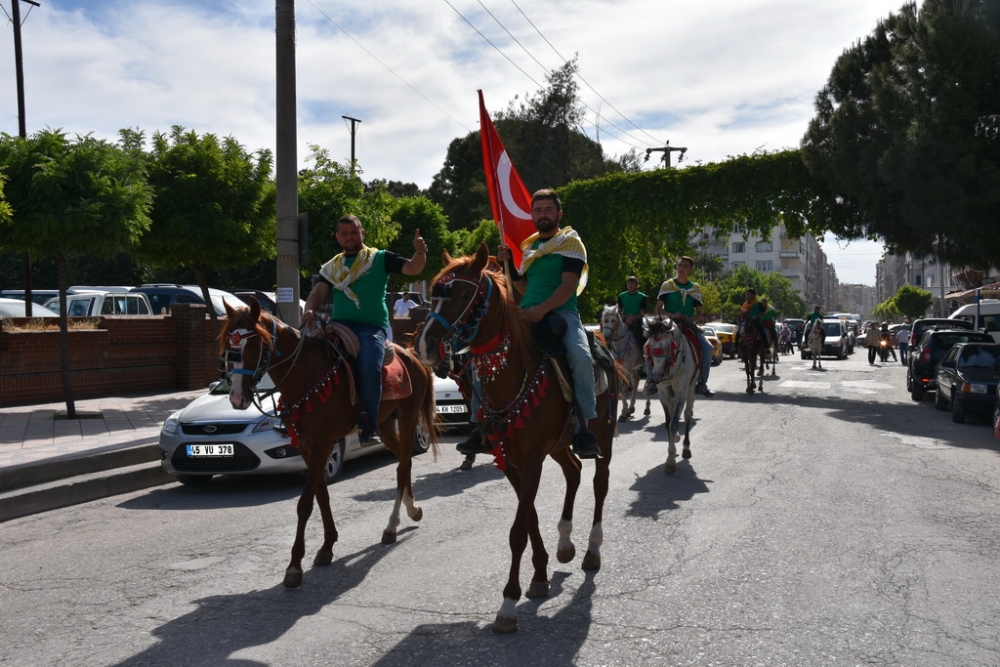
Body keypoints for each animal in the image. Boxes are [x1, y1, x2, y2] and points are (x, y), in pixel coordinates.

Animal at [223, 300, 438, 588]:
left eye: (257, 346)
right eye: (229, 344)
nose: (236, 397)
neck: (306, 374)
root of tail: (412, 355)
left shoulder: (323, 442)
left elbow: (305, 503)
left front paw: (294, 567)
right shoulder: (306, 446)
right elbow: (321, 494)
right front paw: (327, 546)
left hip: (407, 417)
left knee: (403, 465)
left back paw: (392, 525)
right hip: (383, 425)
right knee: (404, 464)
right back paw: (411, 508)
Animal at [412, 245, 616, 636]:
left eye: (462, 293)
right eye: (433, 292)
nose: (424, 345)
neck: (513, 374)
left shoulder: (532, 458)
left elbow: (518, 530)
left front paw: (508, 604)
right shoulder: (512, 459)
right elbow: (529, 517)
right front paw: (539, 576)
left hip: (603, 436)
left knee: (599, 483)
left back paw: (593, 551)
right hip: (559, 445)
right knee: (573, 471)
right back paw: (566, 543)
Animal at [644, 318, 700, 474]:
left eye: (668, 345)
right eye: (649, 345)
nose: (657, 375)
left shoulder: (682, 392)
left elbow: (673, 423)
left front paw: (670, 460)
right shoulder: (663, 394)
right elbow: (668, 422)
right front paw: (671, 453)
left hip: (691, 388)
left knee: (687, 414)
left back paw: (686, 447)